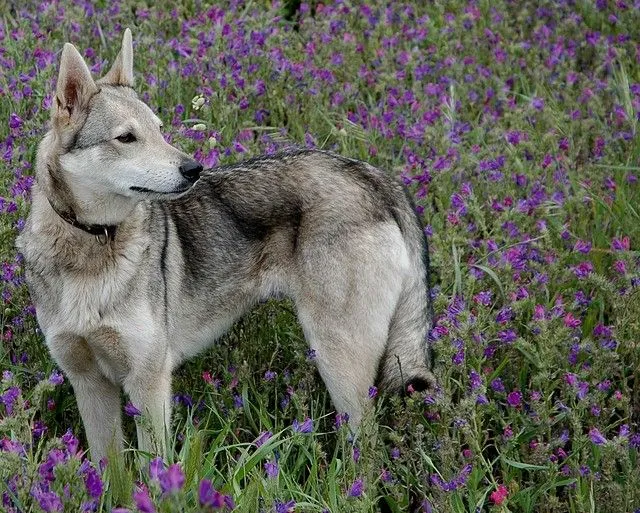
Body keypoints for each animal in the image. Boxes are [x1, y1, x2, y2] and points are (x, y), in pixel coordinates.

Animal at [16, 30, 436, 462]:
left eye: (160, 129)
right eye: (127, 138)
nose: (193, 169)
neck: (92, 245)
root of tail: (376, 176)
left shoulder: (148, 384)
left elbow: (155, 470)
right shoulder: (90, 384)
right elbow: (109, 471)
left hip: (339, 366)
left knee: (367, 453)